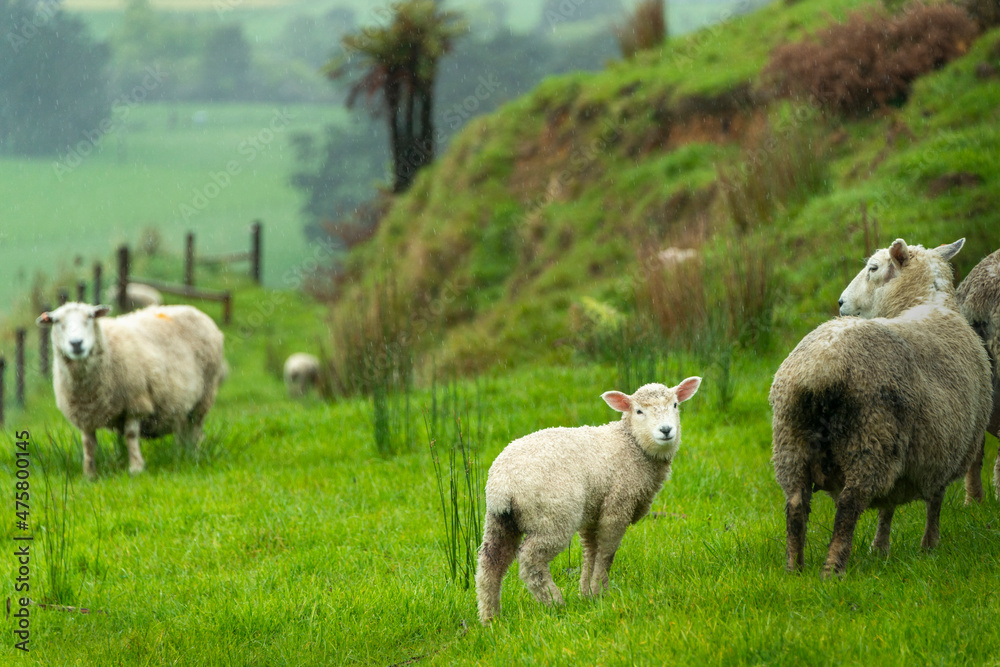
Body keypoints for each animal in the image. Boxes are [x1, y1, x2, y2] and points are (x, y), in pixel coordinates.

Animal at [37, 302, 227, 480]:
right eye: (56, 321)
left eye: (90, 316)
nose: (76, 343)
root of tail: (194, 310)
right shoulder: (84, 414)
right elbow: (88, 444)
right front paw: (89, 475)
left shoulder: (135, 403)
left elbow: (130, 435)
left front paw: (136, 468)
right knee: (183, 429)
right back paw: (181, 452)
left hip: (205, 394)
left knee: (195, 428)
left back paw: (193, 454)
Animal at [476, 378, 704, 624]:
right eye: (639, 411)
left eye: (675, 405)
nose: (666, 430)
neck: (632, 445)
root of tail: (502, 484)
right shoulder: (618, 504)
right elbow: (606, 552)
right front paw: (600, 592)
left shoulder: (593, 510)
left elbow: (590, 551)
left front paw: (587, 595)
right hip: (554, 515)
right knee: (531, 560)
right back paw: (555, 603)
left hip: (501, 519)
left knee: (490, 562)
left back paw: (490, 618)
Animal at [764, 240, 992, 580]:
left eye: (873, 268)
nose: (841, 302)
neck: (925, 304)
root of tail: (820, 368)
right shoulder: (946, 450)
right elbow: (934, 503)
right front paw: (929, 546)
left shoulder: (912, 455)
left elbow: (889, 505)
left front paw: (880, 548)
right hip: (870, 439)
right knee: (848, 506)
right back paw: (833, 570)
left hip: (791, 444)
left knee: (795, 506)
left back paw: (795, 568)